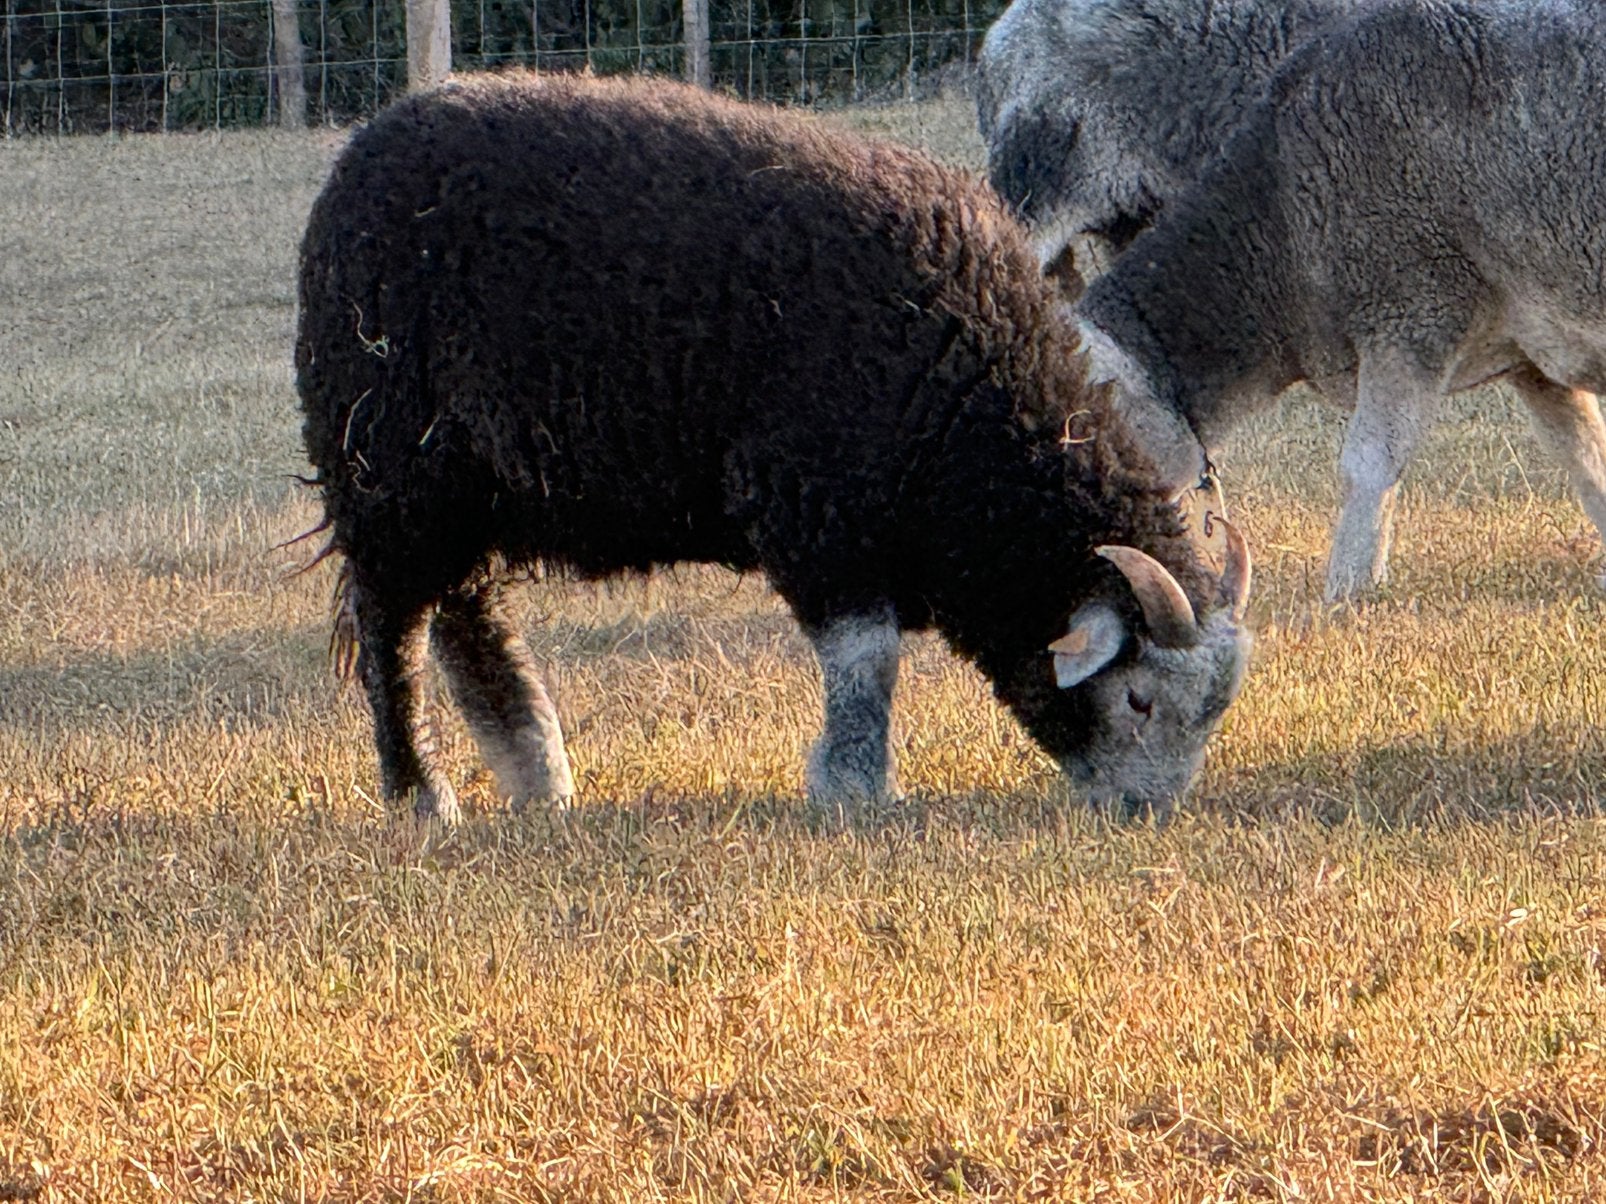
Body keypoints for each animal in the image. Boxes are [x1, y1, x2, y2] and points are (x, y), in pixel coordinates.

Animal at [295, 71, 1252, 823]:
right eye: (1138, 697)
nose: (1142, 813)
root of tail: (357, 160)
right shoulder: (821, 519)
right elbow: (866, 662)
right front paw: (854, 790)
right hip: (391, 472)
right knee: (395, 632)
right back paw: (422, 794)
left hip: (464, 489)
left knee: (468, 619)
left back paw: (538, 775)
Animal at [1075, 0, 1606, 601]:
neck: (1280, 221)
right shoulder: (1536, 355)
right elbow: (1587, 461)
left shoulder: (1410, 313)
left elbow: (1369, 463)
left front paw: (1349, 591)